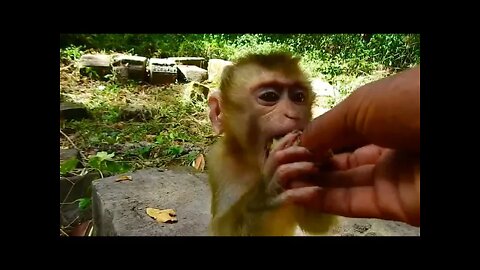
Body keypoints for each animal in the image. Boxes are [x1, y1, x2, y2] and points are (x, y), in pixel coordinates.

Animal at [206, 51, 338, 235]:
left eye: (299, 97)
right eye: (269, 96)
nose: (293, 114)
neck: (254, 165)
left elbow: (316, 224)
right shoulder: (219, 162)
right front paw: (267, 194)